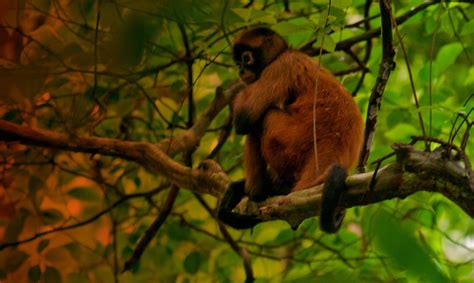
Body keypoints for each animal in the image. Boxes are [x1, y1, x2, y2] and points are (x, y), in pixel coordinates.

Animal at [218, 27, 362, 234]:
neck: (285, 52)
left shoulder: (281, 65)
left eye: (246, 58)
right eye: (238, 62)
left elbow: (244, 117)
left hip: (288, 141)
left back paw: (256, 192)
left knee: (260, 121)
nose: (241, 70)